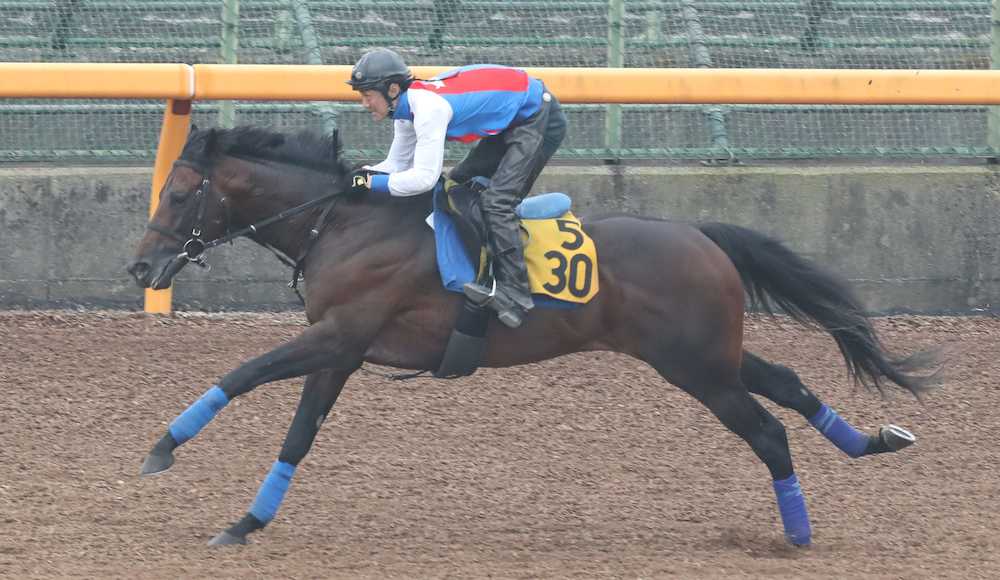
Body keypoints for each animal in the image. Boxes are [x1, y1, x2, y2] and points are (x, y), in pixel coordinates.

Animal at [125, 124, 936, 548]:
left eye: (180, 191)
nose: (140, 266)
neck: (346, 224)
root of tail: (702, 234)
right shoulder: (343, 349)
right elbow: (298, 435)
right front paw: (247, 520)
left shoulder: (338, 335)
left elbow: (243, 373)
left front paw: (162, 447)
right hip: (710, 353)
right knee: (791, 386)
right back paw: (874, 441)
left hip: (697, 367)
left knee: (768, 430)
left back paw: (798, 534)